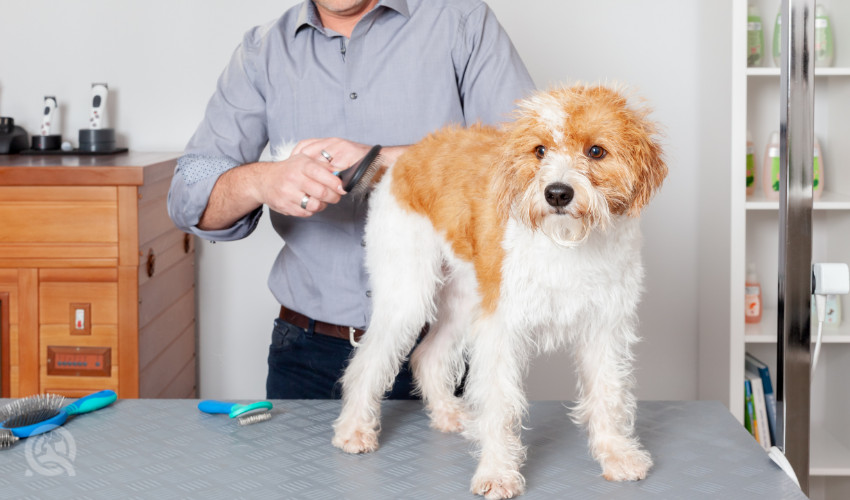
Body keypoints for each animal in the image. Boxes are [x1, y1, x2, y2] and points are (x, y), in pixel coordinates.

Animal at [332, 84, 668, 498]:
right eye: (540, 150)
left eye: (595, 151)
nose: (557, 194)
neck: (566, 244)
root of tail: (401, 161)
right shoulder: (501, 329)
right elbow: (500, 404)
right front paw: (496, 472)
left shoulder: (603, 327)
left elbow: (609, 393)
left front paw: (617, 455)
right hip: (407, 296)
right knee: (367, 363)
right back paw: (353, 430)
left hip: (463, 300)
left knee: (427, 356)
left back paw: (448, 414)